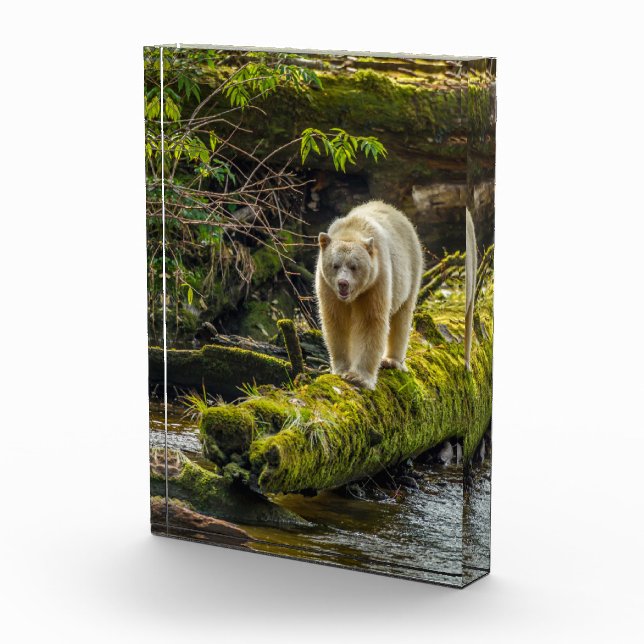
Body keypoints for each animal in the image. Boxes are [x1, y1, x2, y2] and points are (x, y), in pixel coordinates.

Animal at [315, 200, 424, 390]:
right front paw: (341, 369)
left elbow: (370, 321)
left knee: (402, 317)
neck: (351, 231)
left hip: (410, 271)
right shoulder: (328, 288)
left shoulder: (375, 282)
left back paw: (392, 360)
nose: (343, 283)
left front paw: (358, 377)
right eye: (335, 265)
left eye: (354, 266)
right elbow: (336, 322)